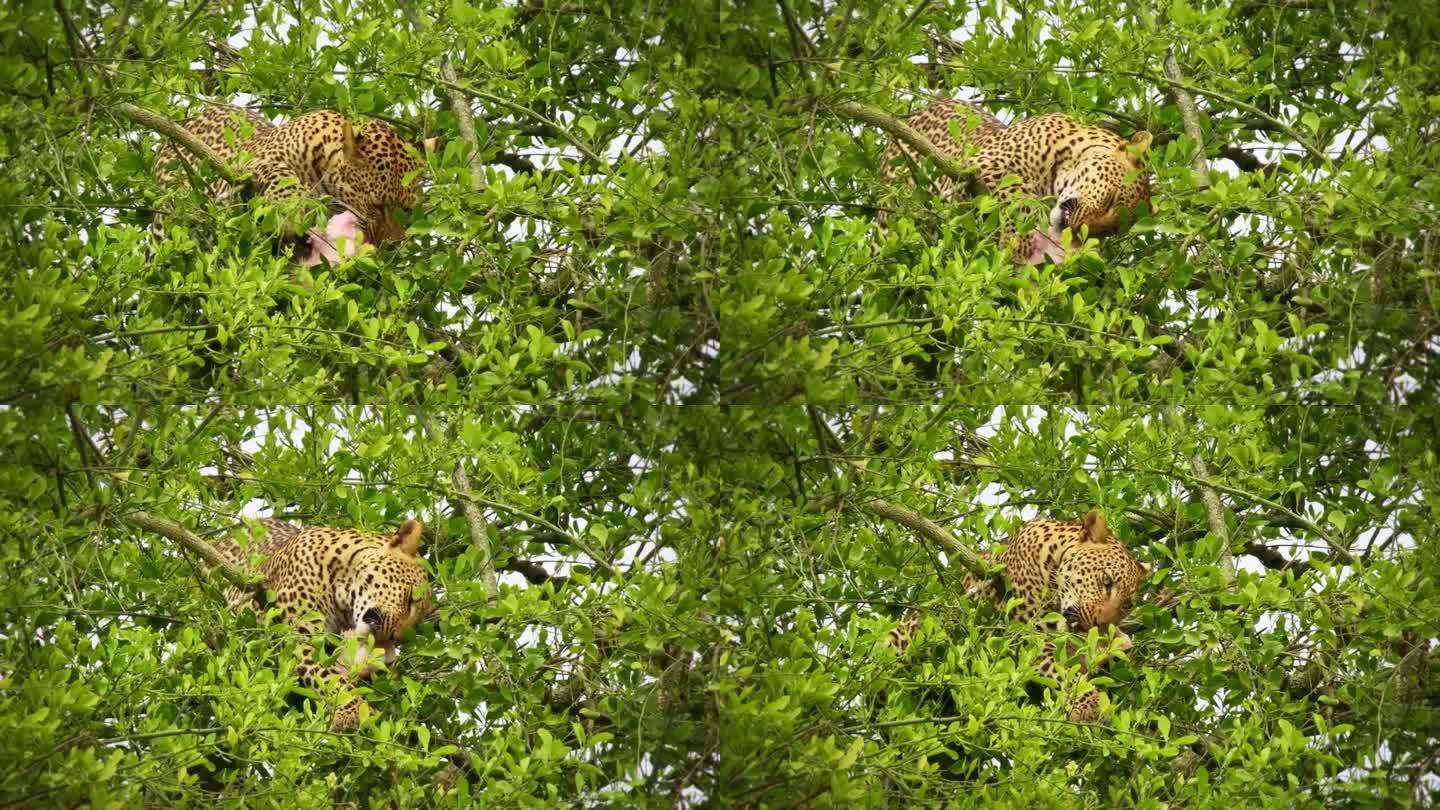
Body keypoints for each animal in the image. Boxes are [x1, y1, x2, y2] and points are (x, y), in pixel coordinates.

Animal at [153, 103, 432, 249]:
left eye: (407, 211)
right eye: (376, 206)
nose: (393, 246)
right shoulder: (244, 169)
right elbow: (278, 172)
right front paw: (294, 205)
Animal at [869, 97, 1152, 262]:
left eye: (1110, 231)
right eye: (1111, 200)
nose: (1077, 234)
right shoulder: (978, 165)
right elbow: (1020, 193)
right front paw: (1020, 244)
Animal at [881, 507, 1163, 720]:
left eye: (1126, 605)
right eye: (1106, 581)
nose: (1101, 625)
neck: (1053, 558)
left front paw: (1118, 647)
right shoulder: (1031, 636)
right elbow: (1066, 674)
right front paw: (1089, 704)